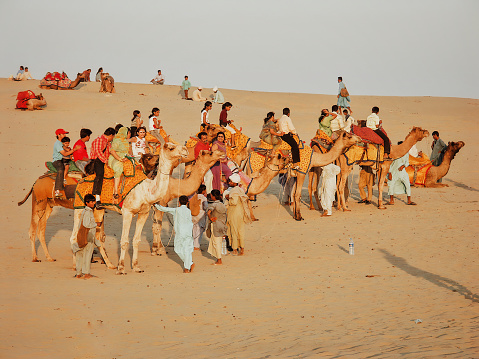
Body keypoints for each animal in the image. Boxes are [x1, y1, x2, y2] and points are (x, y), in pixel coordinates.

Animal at [17, 155, 158, 264]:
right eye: (149, 157)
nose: (157, 161)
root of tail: (36, 182)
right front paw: (97, 259)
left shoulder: (99, 208)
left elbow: (101, 234)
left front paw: (100, 259)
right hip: (38, 203)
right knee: (32, 230)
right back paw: (35, 258)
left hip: (48, 206)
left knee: (41, 230)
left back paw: (49, 257)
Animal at [69, 142, 189, 274]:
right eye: (170, 147)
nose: (185, 150)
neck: (145, 190)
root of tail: (81, 180)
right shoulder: (127, 212)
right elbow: (124, 241)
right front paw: (121, 268)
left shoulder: (144, 213)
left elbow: (136, 240)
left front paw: (136, 267)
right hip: (79, 206)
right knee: (74, 236)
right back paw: (75, 266)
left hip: (98, 210)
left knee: (97, 237)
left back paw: (110, 265)